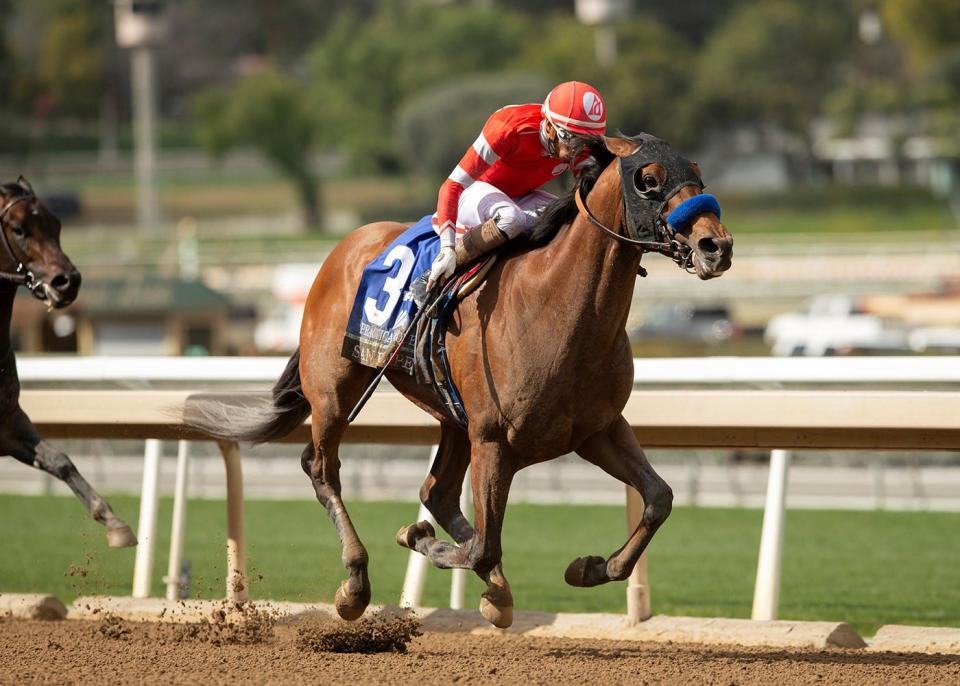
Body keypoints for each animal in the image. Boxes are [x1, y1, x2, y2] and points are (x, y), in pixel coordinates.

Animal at [0, 177, 136, 548]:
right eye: (18, 228)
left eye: (56, 224)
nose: (68, 281)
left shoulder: (9, 423)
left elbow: (59, 460)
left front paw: (115, 523)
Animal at [188, 134, 732, 628]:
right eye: (649, 179)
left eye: (699, 173)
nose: (717, 246)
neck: (557, 307)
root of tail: (341, 248)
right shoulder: (493, 438)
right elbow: (484, 547)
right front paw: (421, 538)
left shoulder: (595, 428)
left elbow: (659, 498)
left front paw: (591, 567)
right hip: (336, 391)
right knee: (323, 468)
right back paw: (356, 584)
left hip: (452, 416)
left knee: (437, 492)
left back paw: (490, 586)